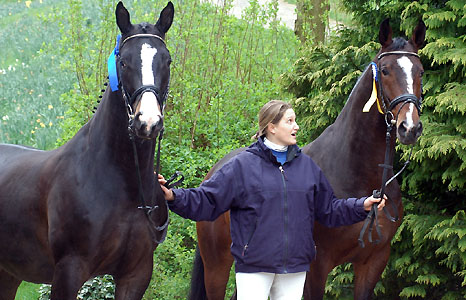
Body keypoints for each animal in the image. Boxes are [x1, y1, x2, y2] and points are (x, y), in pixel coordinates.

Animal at [0, 1, 174, 298]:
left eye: (167, 60)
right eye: (123, 61)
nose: (148, 122)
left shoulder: (136, 275)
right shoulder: (69, 271)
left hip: (9, 273)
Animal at [188, 19, 426, 300]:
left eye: (421, 71)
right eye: (386, 70)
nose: (409, 127)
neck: (358, 174)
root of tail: (213, 173)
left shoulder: (374, 261)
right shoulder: (316, 266)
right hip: (217, 264)